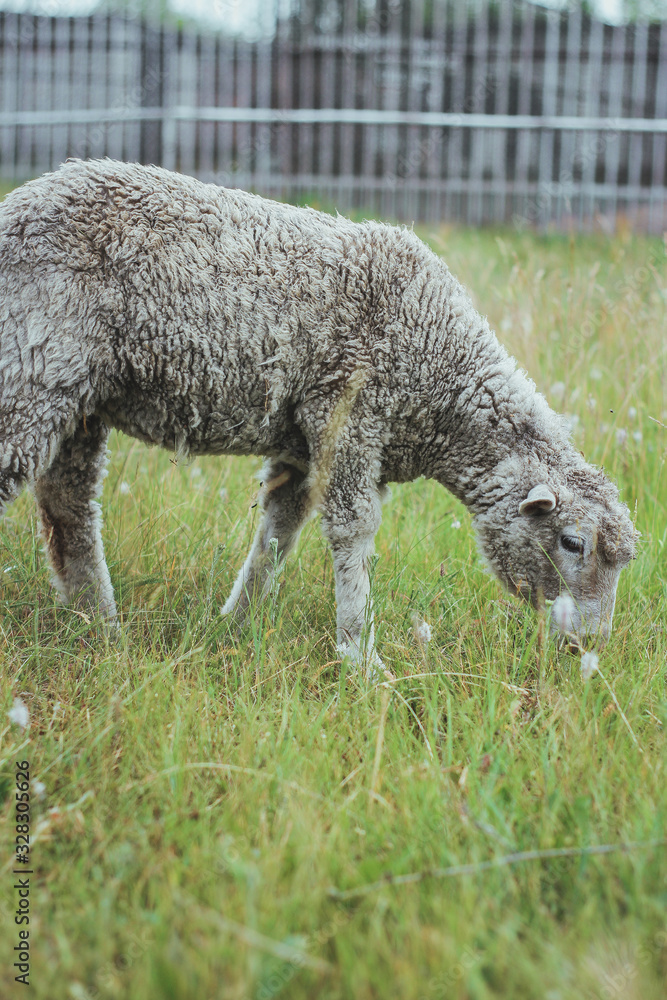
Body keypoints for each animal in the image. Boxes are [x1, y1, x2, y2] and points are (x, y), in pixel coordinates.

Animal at [0, 158, 638, 670]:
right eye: (573, 543)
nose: (589, 646)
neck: (442, 370)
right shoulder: (349, 415)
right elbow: (353, 531)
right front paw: (359, 655)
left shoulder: (304, 443)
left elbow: (280, 530)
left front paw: (236, 621)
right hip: (32, 370)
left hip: (80, 401)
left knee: (70, 510)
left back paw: (99, 629)